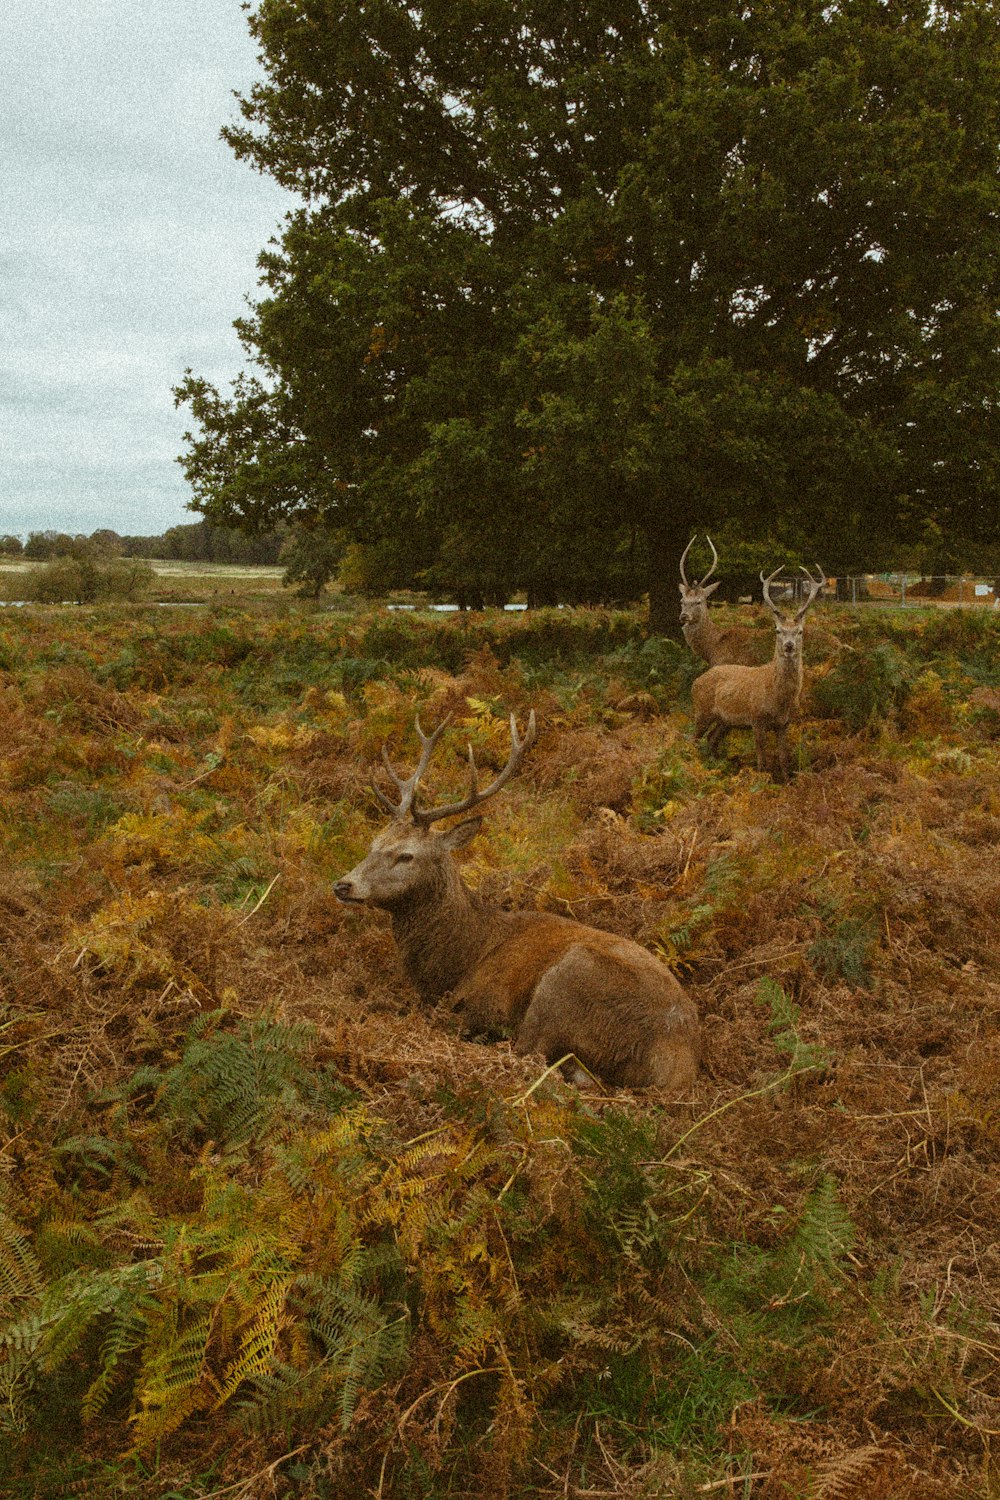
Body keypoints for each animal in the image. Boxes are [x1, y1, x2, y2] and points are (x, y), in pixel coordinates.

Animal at [332, 714, 701, 1092]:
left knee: (532, 1052)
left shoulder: (488, 1005)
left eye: (406, 855)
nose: (343, 885)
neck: (459, 960)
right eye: (374, 843)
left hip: (567, 982)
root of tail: (677, 1069)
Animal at [692, 564, 827, 786]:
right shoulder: (756, 719)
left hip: (725, 721)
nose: (788, 646)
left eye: (800, 631)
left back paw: (715, 765)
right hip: (702, 710)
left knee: (711, 738)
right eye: (778, 630)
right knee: (693, 738)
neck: (779, 699)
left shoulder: (784, 723)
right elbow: (762, 759)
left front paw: (786, 781)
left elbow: (783, 756)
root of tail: (696, 681)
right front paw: (762, 783)